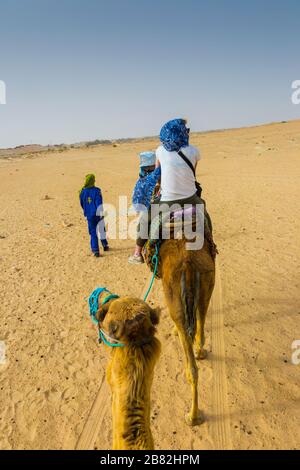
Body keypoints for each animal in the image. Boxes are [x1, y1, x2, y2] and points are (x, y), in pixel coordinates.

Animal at [159, 239, 216, 426]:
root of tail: (188, 264)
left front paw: (173, 331)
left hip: (174, 295)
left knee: (191, 367)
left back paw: (192, 417)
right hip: (207, 284)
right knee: (201, 324)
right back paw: (200, 352)